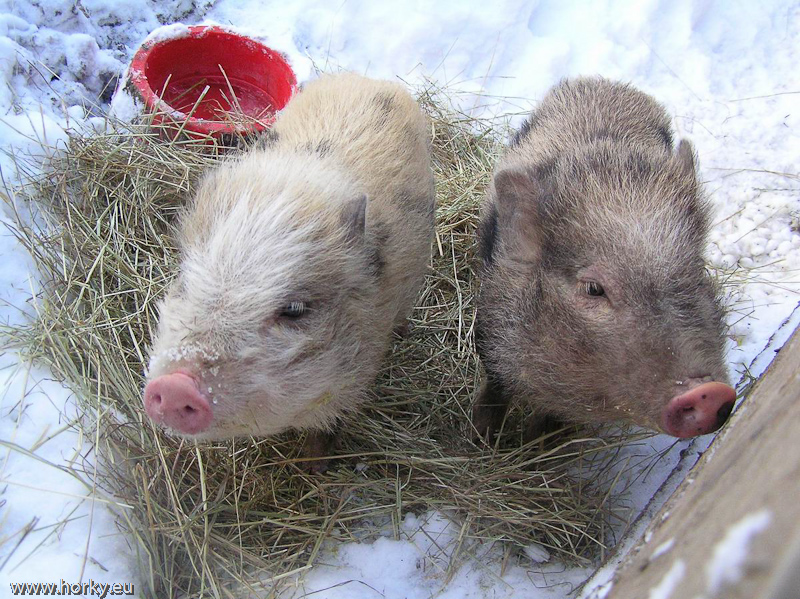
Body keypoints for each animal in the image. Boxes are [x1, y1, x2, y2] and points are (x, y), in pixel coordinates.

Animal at [142, 73, 435, 466]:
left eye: (295, 310)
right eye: (185, 282)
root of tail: (371, 80)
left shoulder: (357, 375)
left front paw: (313, 467)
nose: (175, 386)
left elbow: (328, 429)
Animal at [473, 77, 736, 443]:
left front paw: (540, 445)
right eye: (593, 288)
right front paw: (479, 438)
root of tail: (608, 84)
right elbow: (496, 387)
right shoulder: (489, 327)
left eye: (696, 272)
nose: (708, 392)